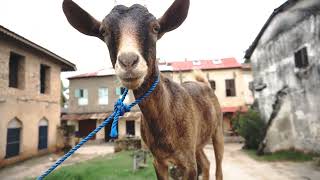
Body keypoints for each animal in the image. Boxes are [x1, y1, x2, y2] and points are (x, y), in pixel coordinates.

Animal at [62, 0, 222, 179]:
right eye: (103, 31)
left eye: (156, 28)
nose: (128, 62)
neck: (166, 119)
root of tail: (205, 85)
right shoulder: (158, 160)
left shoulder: (188, 163)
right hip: (198, 143)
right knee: (206, 164)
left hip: (217, 129)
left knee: (218, 166)